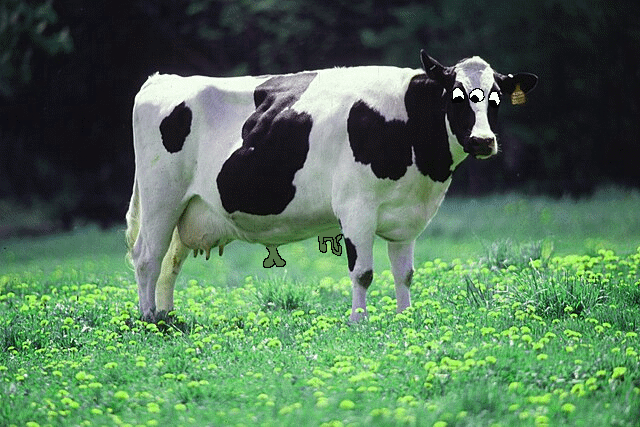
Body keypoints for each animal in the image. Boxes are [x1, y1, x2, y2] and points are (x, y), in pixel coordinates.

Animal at [126, 50, 537, 323]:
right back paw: (148, 319)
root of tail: (162, 79)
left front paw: (405, 318)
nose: (483, 141)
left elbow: (404, 273)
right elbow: (363, 272)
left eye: (496, 99)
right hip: (161, 198)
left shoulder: (407, 218)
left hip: (187, 209)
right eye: (457, 95)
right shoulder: (356, 208)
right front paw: (359, 322)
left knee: (170, 262)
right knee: (147, 257)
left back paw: (167, 317)